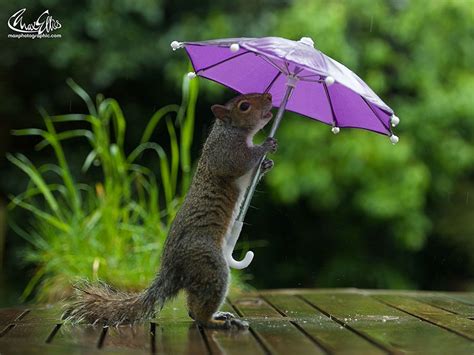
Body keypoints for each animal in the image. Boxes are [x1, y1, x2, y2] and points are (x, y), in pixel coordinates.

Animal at [65, 92, 276, 330]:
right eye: (244, 106)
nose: (269, 96)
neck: (229, 130)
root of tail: (172, 269)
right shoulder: (225, 153)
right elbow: (240, 162)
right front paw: (265, 146)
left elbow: (250, 176)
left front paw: (266, 164)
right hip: (209, 263)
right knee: (200, 312)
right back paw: (218, 322)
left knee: (194, 306)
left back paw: (219, 315)